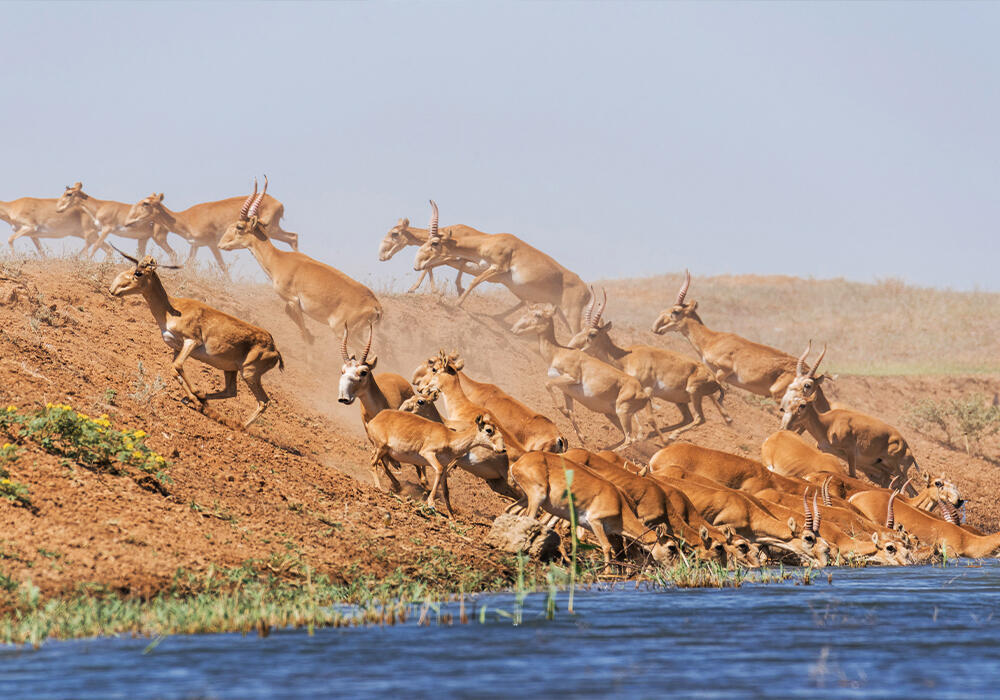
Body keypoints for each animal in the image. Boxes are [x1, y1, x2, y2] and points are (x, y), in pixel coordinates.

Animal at [108, 249, 284, 430]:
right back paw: (199, 401)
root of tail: (274, 349)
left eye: (138, 272)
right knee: (231, 391)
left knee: (264, 401)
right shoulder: (177, 348)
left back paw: (239, 425)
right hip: (230, 370)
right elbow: (174, 369)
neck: (172, 309)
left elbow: (178, 366)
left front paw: (197, 395)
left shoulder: (192, 342)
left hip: (249, 374)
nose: (113, 289)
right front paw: (195, 398)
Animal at [218, 179, 382, 350]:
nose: (221, 244)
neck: (279, 260)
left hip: (343, 333)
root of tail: (375, 306)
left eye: (239, 227)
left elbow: (302, 330)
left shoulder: (293, 301)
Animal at [408, 201, 588, 332]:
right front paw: (417, 289)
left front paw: (456, 303)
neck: (489, 241)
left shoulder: (497, 268)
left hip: (571, 315)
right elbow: (444, 264)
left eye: (434, 243)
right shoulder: (483, 267)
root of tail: (587, 291)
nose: (416, 263)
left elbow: (474, 282)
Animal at [512, 304, 660, 448]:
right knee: (629, 437)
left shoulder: (571, 377)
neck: (558, 352)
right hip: (613, 415)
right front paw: (582, 438)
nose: (514, 329)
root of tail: (643, 394)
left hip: (622, 413)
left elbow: (547, 384)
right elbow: (571, 412)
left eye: (538, 314)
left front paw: (563, 412)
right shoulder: (566, 391)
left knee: (630, 439)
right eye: (528, 311)